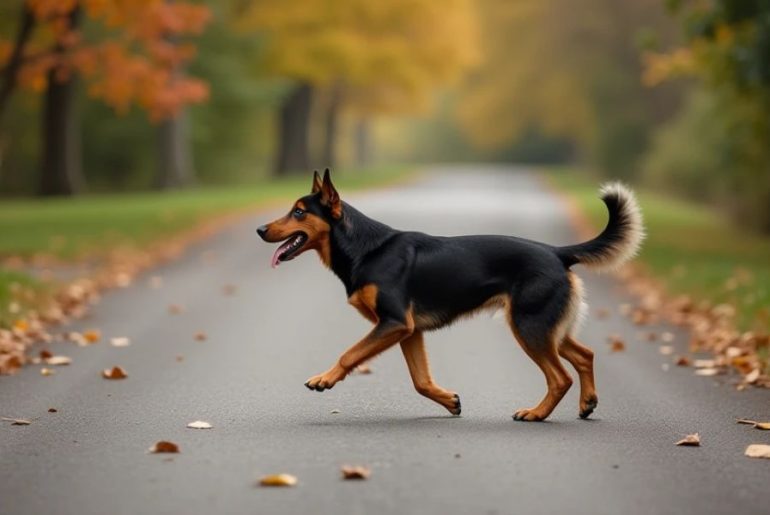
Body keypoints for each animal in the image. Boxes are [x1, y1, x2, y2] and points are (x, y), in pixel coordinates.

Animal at [255, 171, 640, 422]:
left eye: (299, 211)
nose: (259, 229)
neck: (367, 248)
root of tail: (557, 252)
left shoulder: (394, 322)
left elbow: (350, 354)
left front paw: (325, 378)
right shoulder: (408, 331)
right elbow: (421, 381)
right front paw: (449, 401)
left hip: (529, 326)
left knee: (560, 377)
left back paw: (536, 413)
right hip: (546, 327)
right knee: (585, 355)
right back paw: (587, 404)